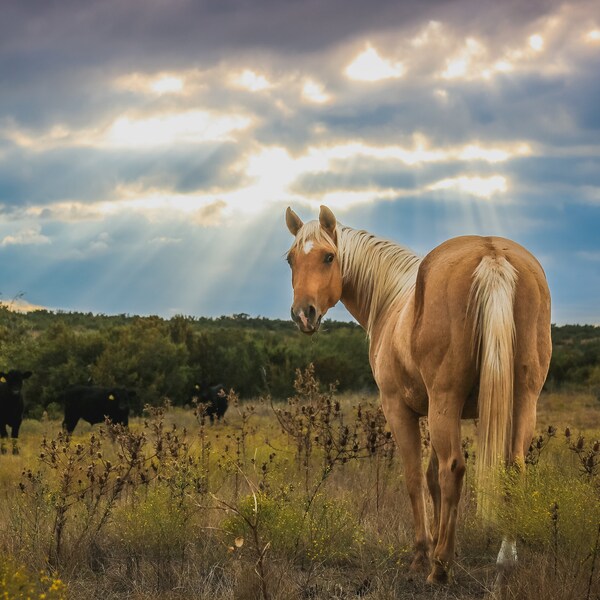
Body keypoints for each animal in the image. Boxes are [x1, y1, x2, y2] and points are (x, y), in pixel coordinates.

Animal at [284, 205, 552, 580]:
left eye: (328, 256)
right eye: (291, 259)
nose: (303, 314)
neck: (393, 301)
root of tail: (492, 255)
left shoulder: (401, 409)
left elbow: (415, 478)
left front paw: (423, 552)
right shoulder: (432, 411)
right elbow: (431, 478)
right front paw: (440, 539)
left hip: (446, 402)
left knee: (454, 469)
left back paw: (439, 567)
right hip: (521, 399)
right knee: (513, 467)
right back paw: (506, 555)